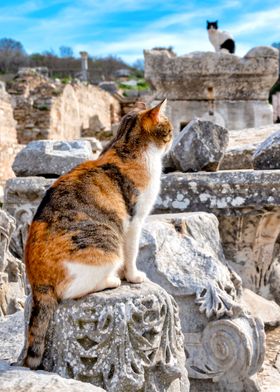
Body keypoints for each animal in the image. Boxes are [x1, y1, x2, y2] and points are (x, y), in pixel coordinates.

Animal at [23, 99, 172, 370]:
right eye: (168, 128)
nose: (173, 137)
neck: (125, 145)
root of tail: (37, 283)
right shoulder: (134, 221)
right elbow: (131, 253)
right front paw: (132, 276)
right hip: (106, 244)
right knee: (71, 290)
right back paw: (111, 280)